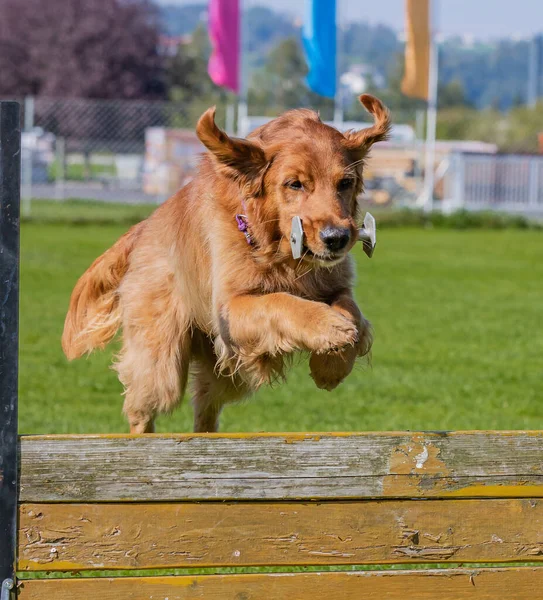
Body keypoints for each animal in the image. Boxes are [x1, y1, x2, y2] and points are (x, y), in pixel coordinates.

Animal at [61, 92, 388, 432]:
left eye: (345, 182)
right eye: (294, 184)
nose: (336, 237)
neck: (282, 253)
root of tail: (144, 227)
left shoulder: (336, 284)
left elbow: (351, 310)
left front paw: (331, 365)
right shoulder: (230, 307)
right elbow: (278, 301)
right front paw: (329, 329)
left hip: (224, 369)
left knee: (205, 409)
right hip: (163, 362)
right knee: (142, 408)